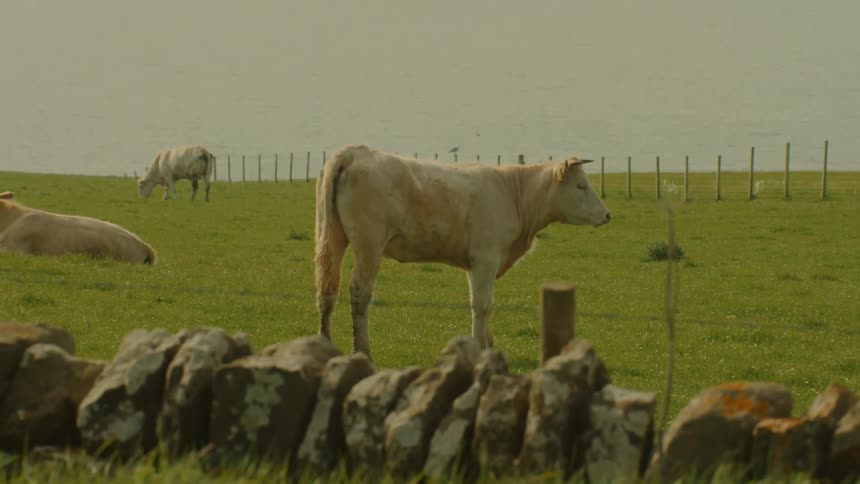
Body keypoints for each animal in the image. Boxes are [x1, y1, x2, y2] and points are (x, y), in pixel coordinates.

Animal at [314, 144, 611, 359]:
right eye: (581, 186)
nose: (607, 215)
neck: (514, 194)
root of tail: (355, 151)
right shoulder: (486, 258)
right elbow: (482, 305)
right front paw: (480, 349)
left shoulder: (476, 263)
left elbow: (483, 303)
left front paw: (488, 346)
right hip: (369, 244)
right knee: (359, 293)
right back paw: (362, 351)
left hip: (333, 237)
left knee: (328, 288)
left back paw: (324, 344)